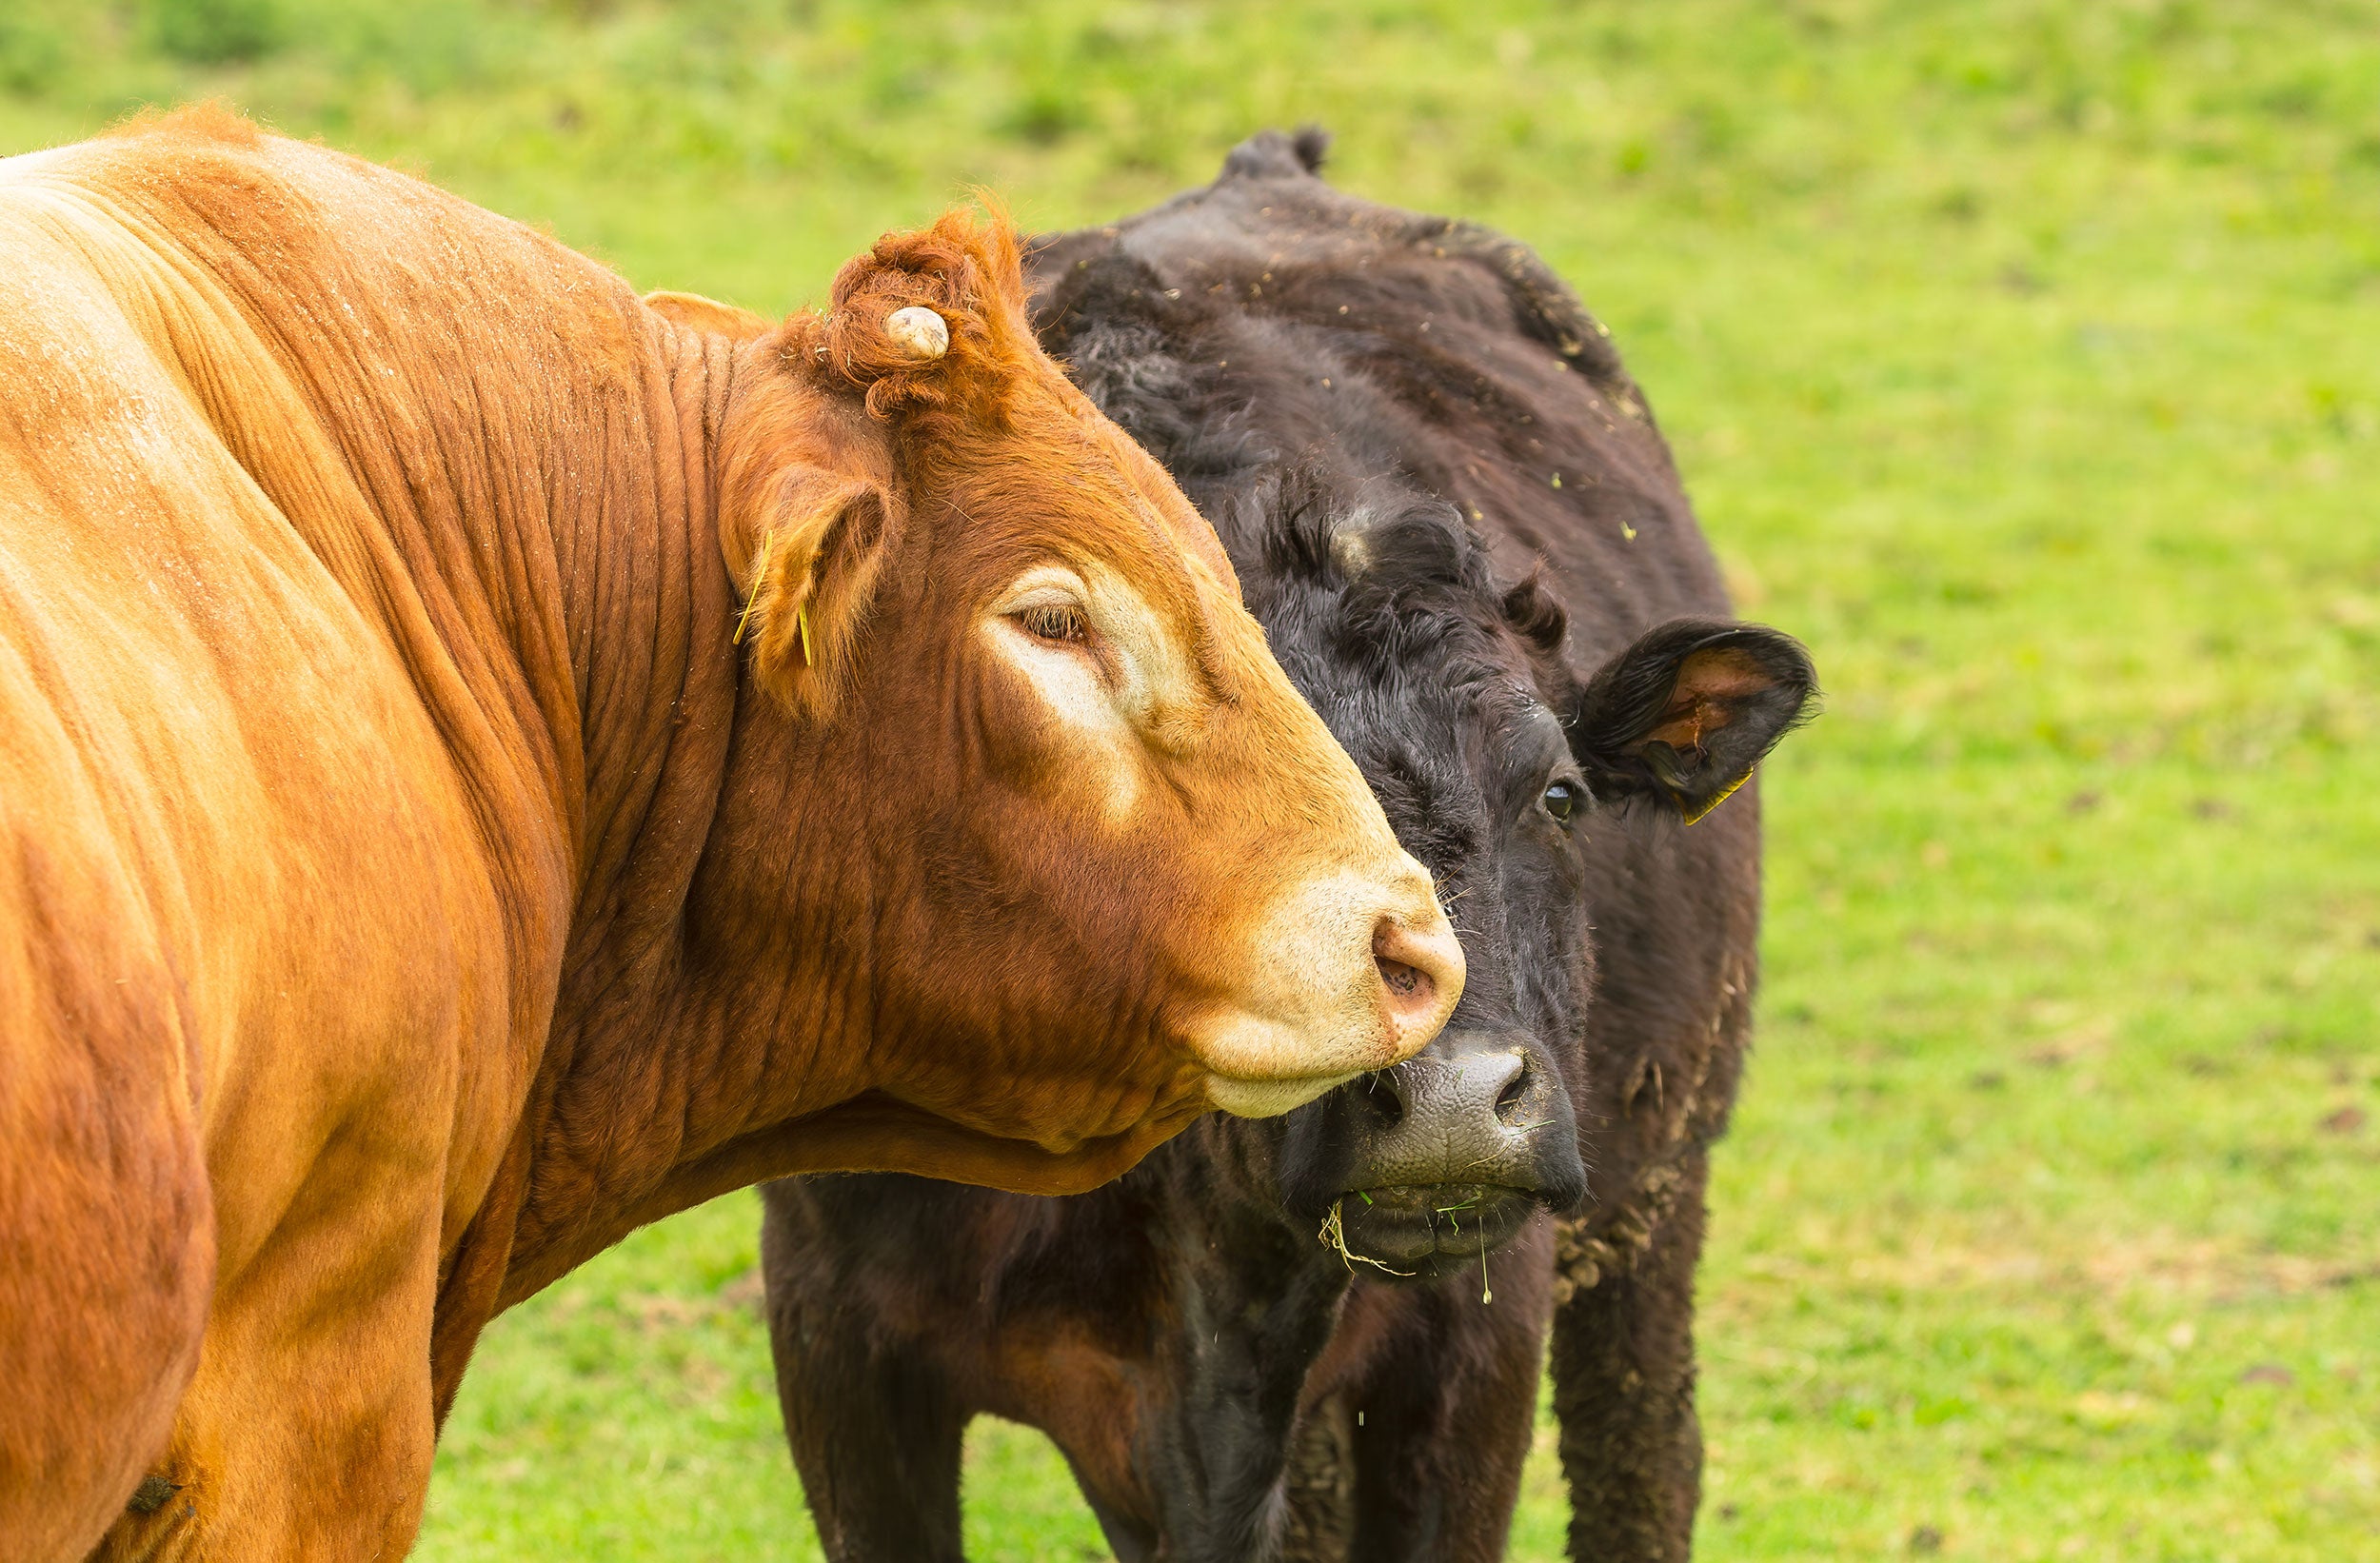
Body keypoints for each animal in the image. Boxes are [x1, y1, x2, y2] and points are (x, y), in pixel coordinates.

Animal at [760, 130, 1815, 1562]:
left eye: (1557, 795)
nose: (1450, 1102)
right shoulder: (837, 1336)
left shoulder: (1471, 1341)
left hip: (1655, 1192)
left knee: (1642, 1448)